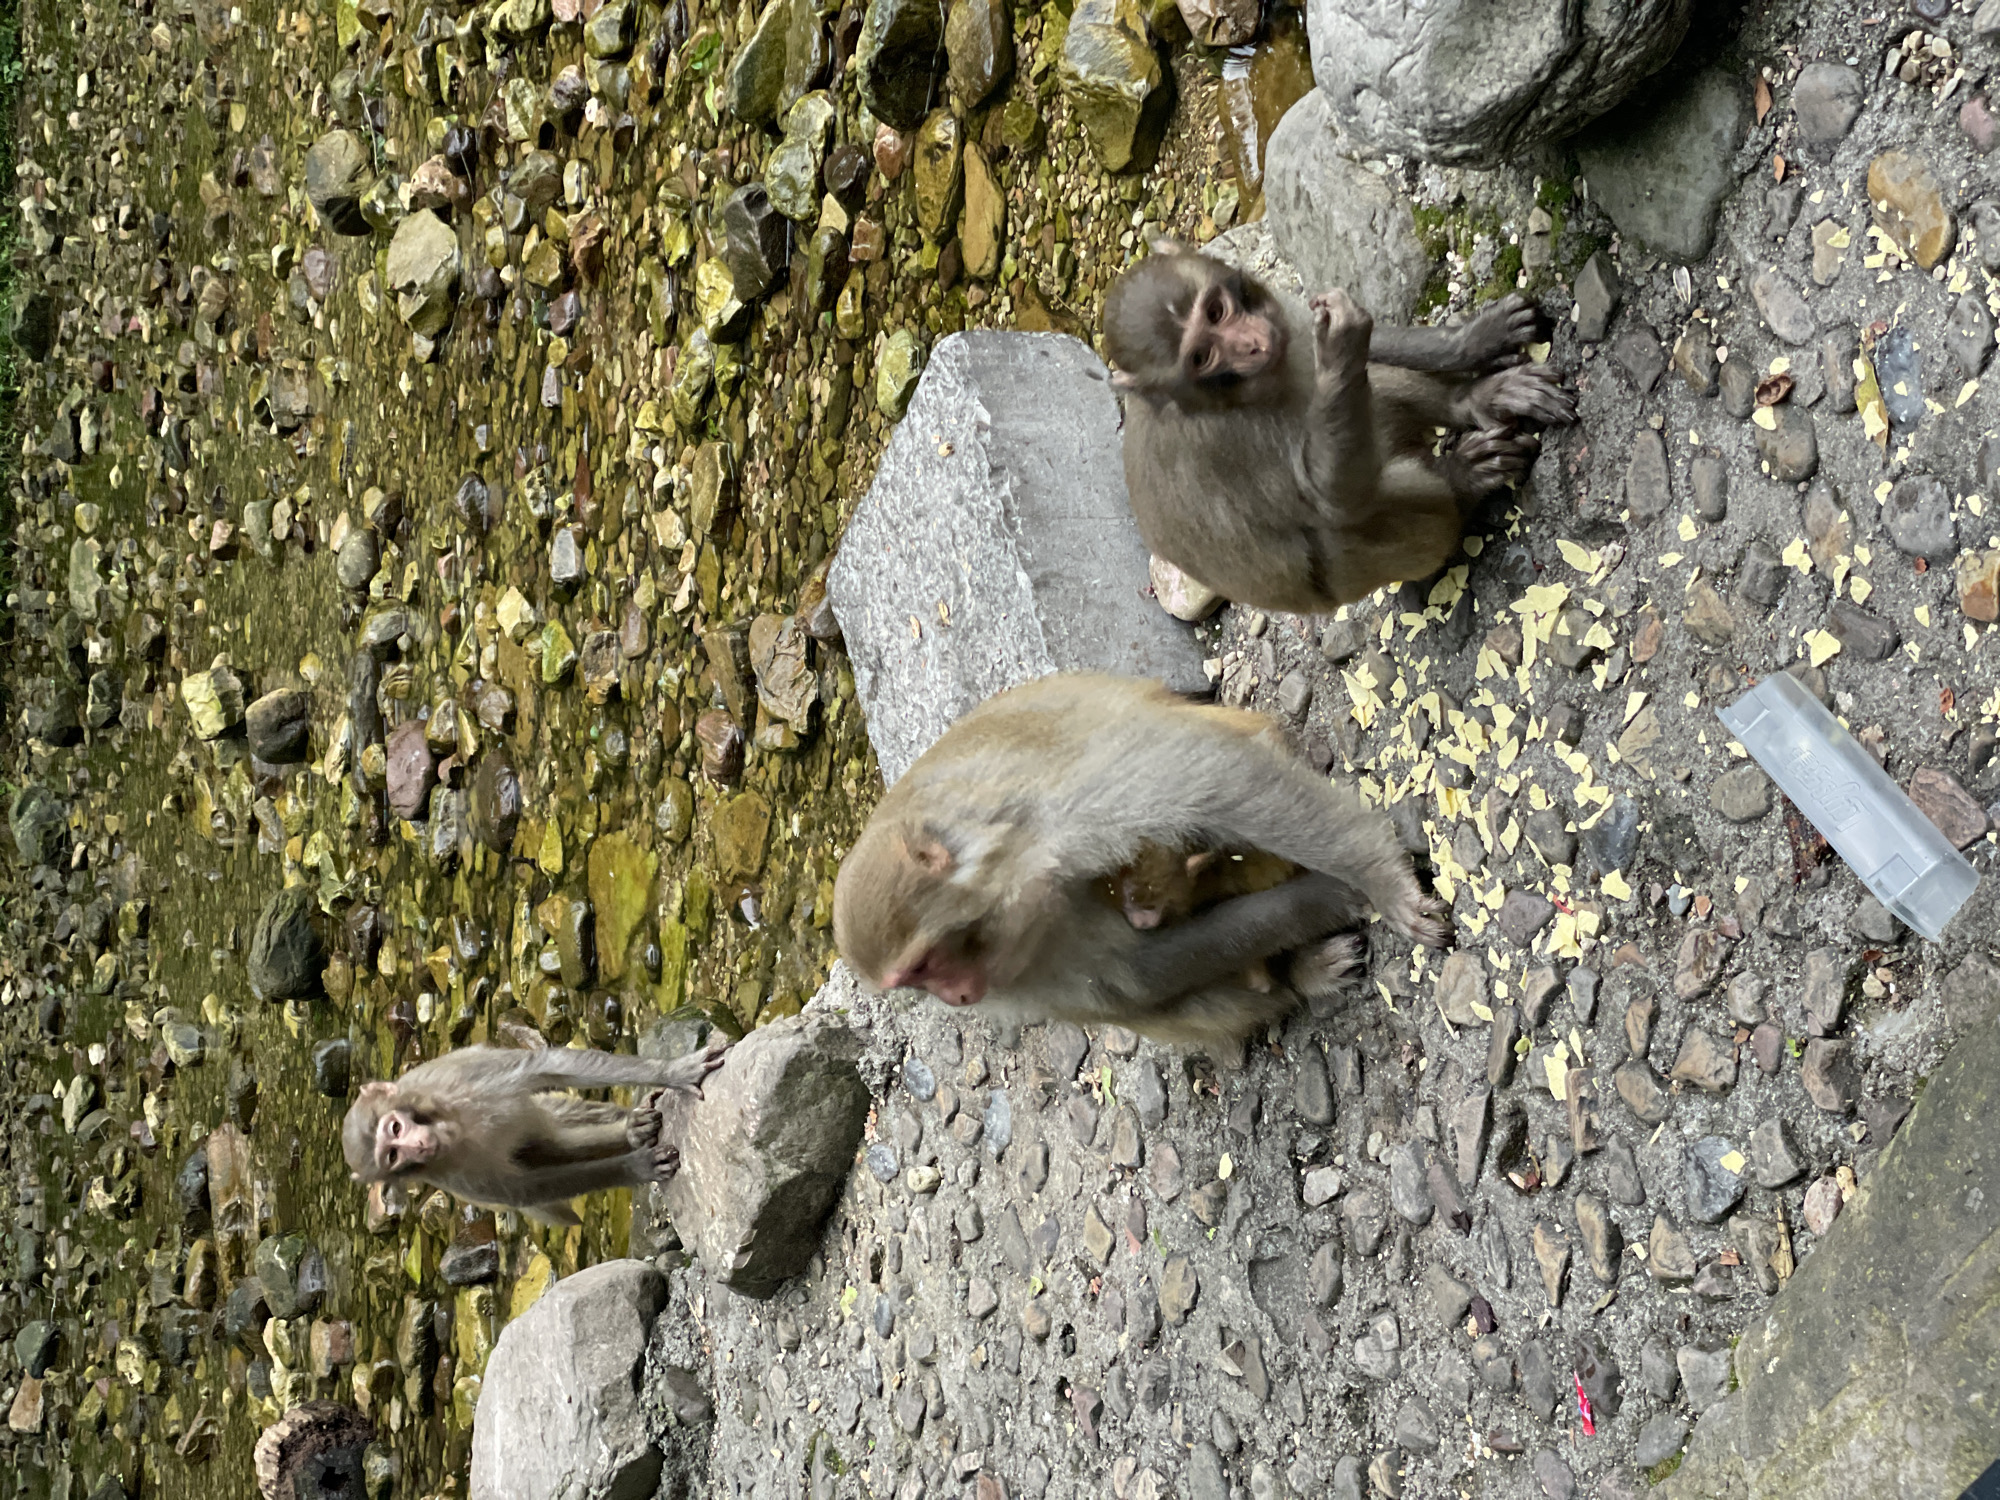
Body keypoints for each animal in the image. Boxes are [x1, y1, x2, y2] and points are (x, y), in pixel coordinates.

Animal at [341, 1040, 727, 1225]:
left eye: (395, 1128)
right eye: (393, 1155)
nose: (418, 1145)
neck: (453, 1125)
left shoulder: (465, 1077)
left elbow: (545, 1066)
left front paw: (673, 1071)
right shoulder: (455, 1179)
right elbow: (525, 1189)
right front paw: (636, 1166)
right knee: (538, 1151)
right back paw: (629, 1136)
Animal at [832, 672, 1447, 1046]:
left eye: (923, 965)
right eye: (915, 983)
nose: (957, 998)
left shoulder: (1061, 802)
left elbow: (1215, 783)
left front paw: (1374, 880)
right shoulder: (1018, 973)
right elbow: (1134, 976)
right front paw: (1320, 904)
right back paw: (1297, 975)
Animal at [1102, 239, 1578, 614]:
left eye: (1216, 311)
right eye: (1201, 357)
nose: (1252, 344)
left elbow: (1357, 346)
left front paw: (1474, 340)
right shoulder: (1226, 443)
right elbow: (1336, 501)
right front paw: (1339, 348)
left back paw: (1473, 401)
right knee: (1351, 522)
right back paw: (1462, 483)